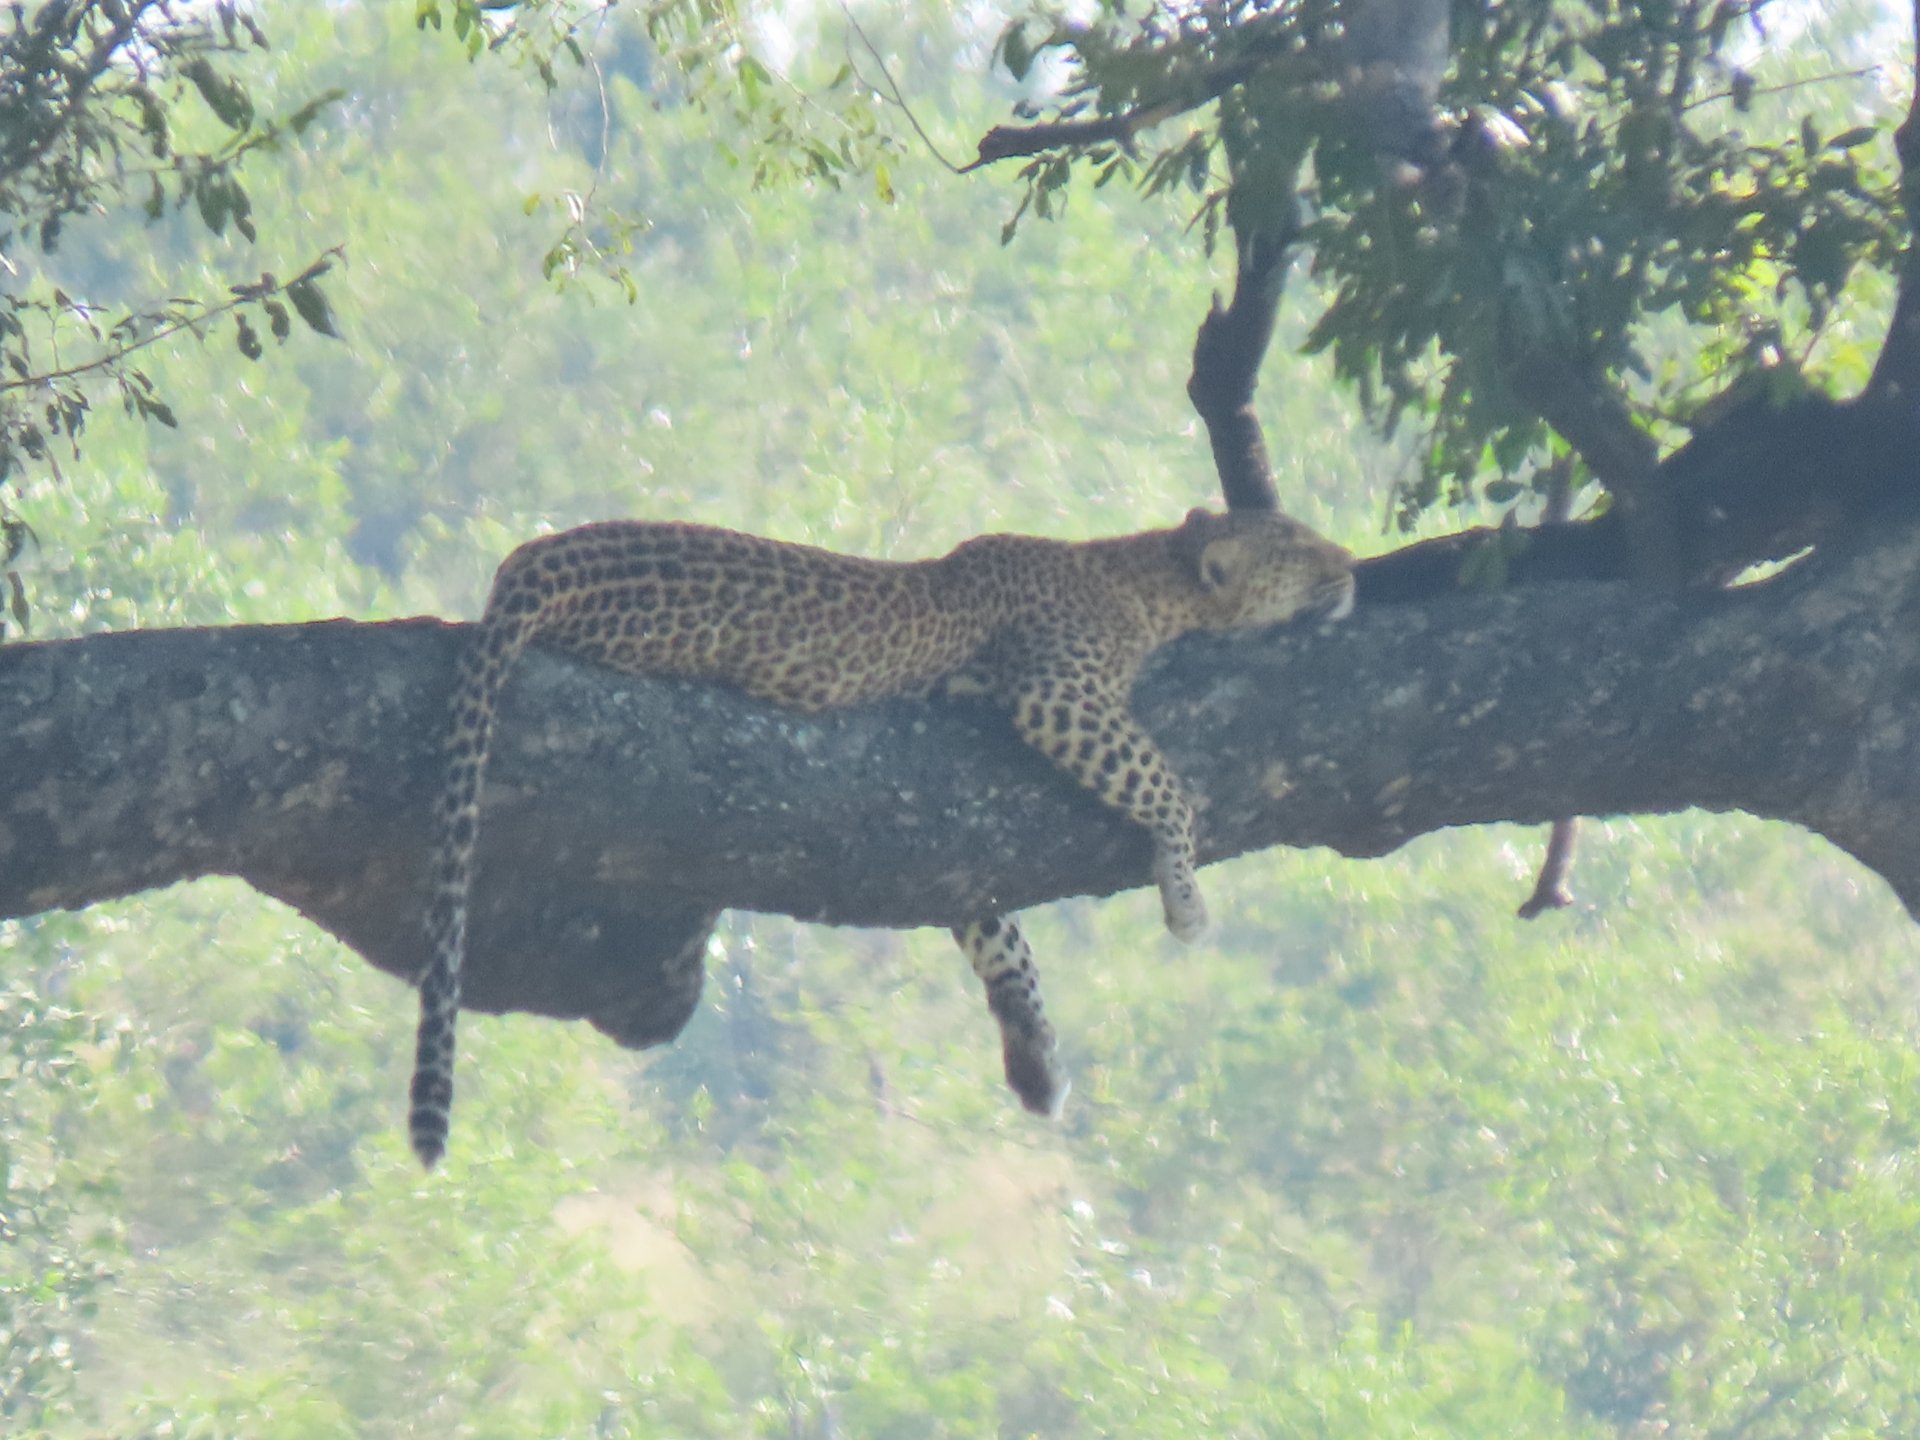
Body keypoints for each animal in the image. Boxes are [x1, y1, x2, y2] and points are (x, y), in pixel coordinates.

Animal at [411, 507, 1356, 1168]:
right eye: (1298, 546)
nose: (1350, 565)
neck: (1147, 577)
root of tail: (530, 560)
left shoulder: (954, 852)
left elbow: (998, 933)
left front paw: (1035, 1053)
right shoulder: (1059, 691)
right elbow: (1166, 787)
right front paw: (1186, 897)